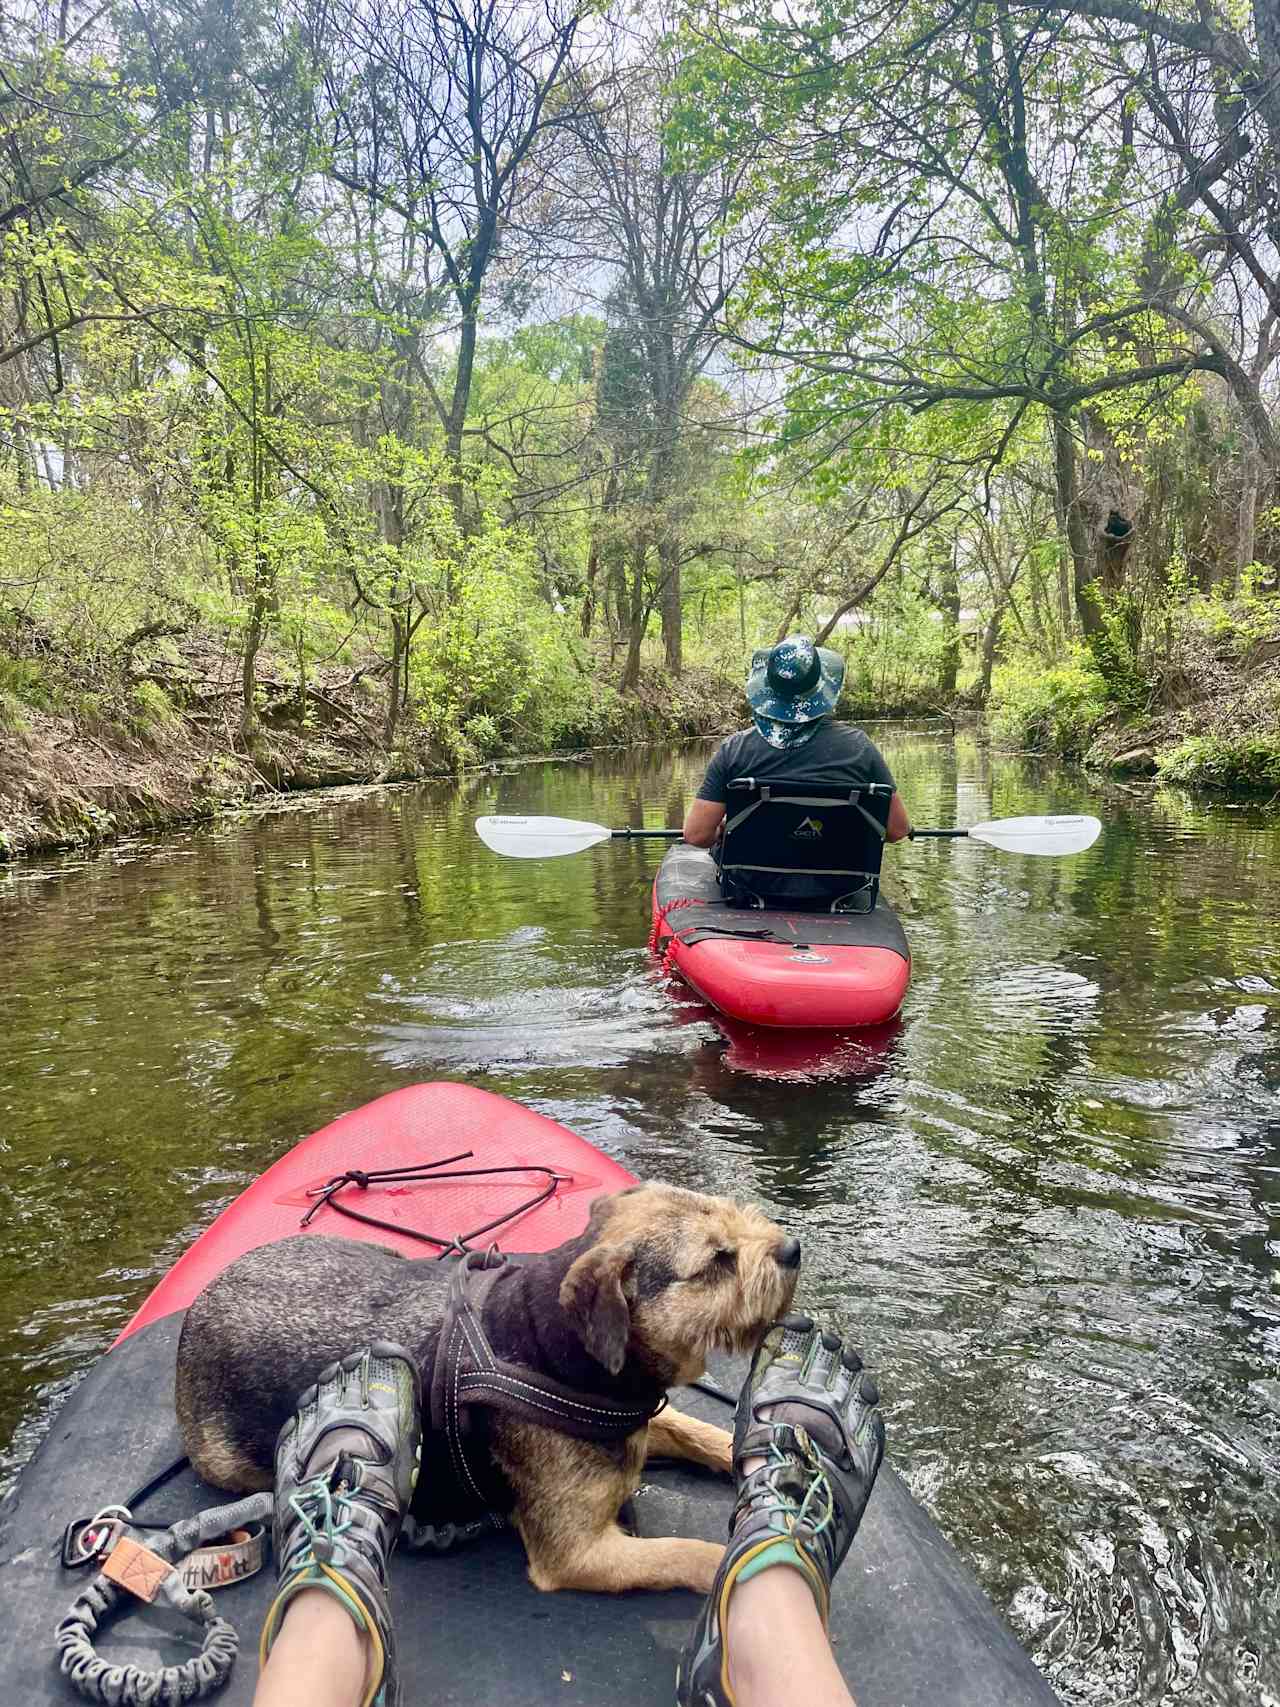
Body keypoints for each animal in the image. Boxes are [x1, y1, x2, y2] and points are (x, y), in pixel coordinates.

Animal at [175, 1181, 802, 1590]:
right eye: (718, 1260)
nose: (793, 1249)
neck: (554, 1349)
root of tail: (193, 1314)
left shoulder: (640, 1421)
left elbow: (696, 1428)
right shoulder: (575, 1554)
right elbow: (694, 1556)